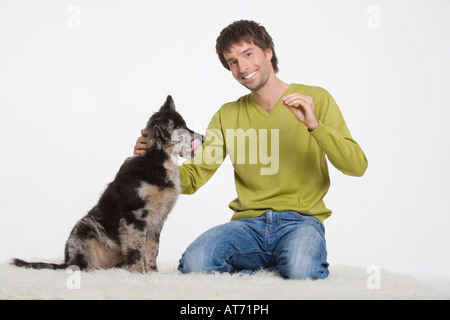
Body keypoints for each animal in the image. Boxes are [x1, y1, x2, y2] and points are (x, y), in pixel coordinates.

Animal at [11, 95, 204, 272]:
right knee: (81, 265)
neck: (157, 160)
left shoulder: (157, 219)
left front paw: (153, 272)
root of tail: (67, 261)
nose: (203, 138)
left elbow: (152, 250)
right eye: (179, 129)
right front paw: (139, 273)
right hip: (82, 231)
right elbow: (137, 249)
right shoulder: (135, 215)